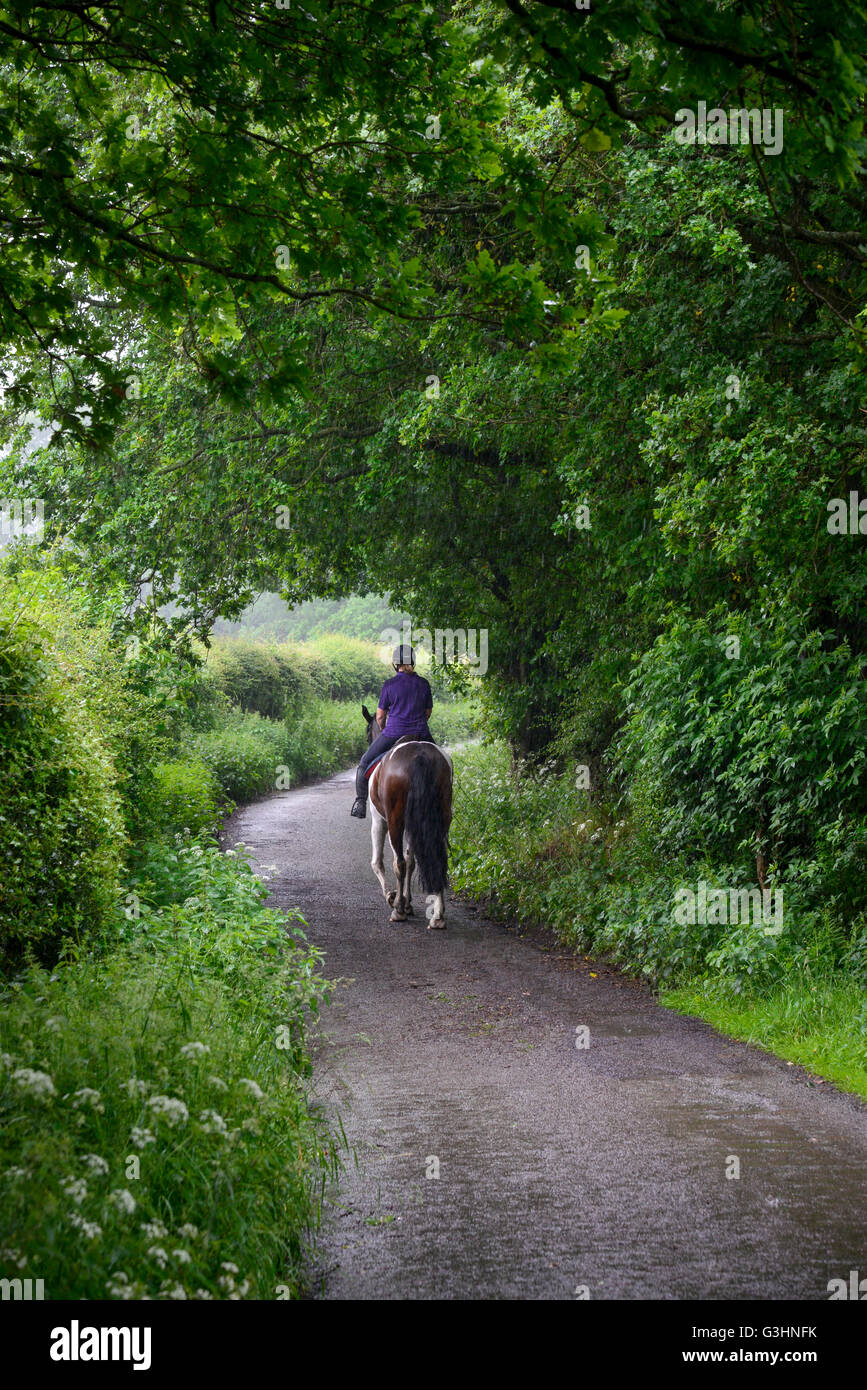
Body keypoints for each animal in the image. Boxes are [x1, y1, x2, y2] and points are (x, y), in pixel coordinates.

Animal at [360, 704, 453, 929]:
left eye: (367, 733)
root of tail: (419, 756)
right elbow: (412, 860)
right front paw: (407, 901)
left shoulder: (379, 821)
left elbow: (378, 862)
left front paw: (394, 898)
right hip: (442, 819)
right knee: (438, 859)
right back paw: (438, 916)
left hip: (395, 821)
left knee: (398, 863)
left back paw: (398, 911)